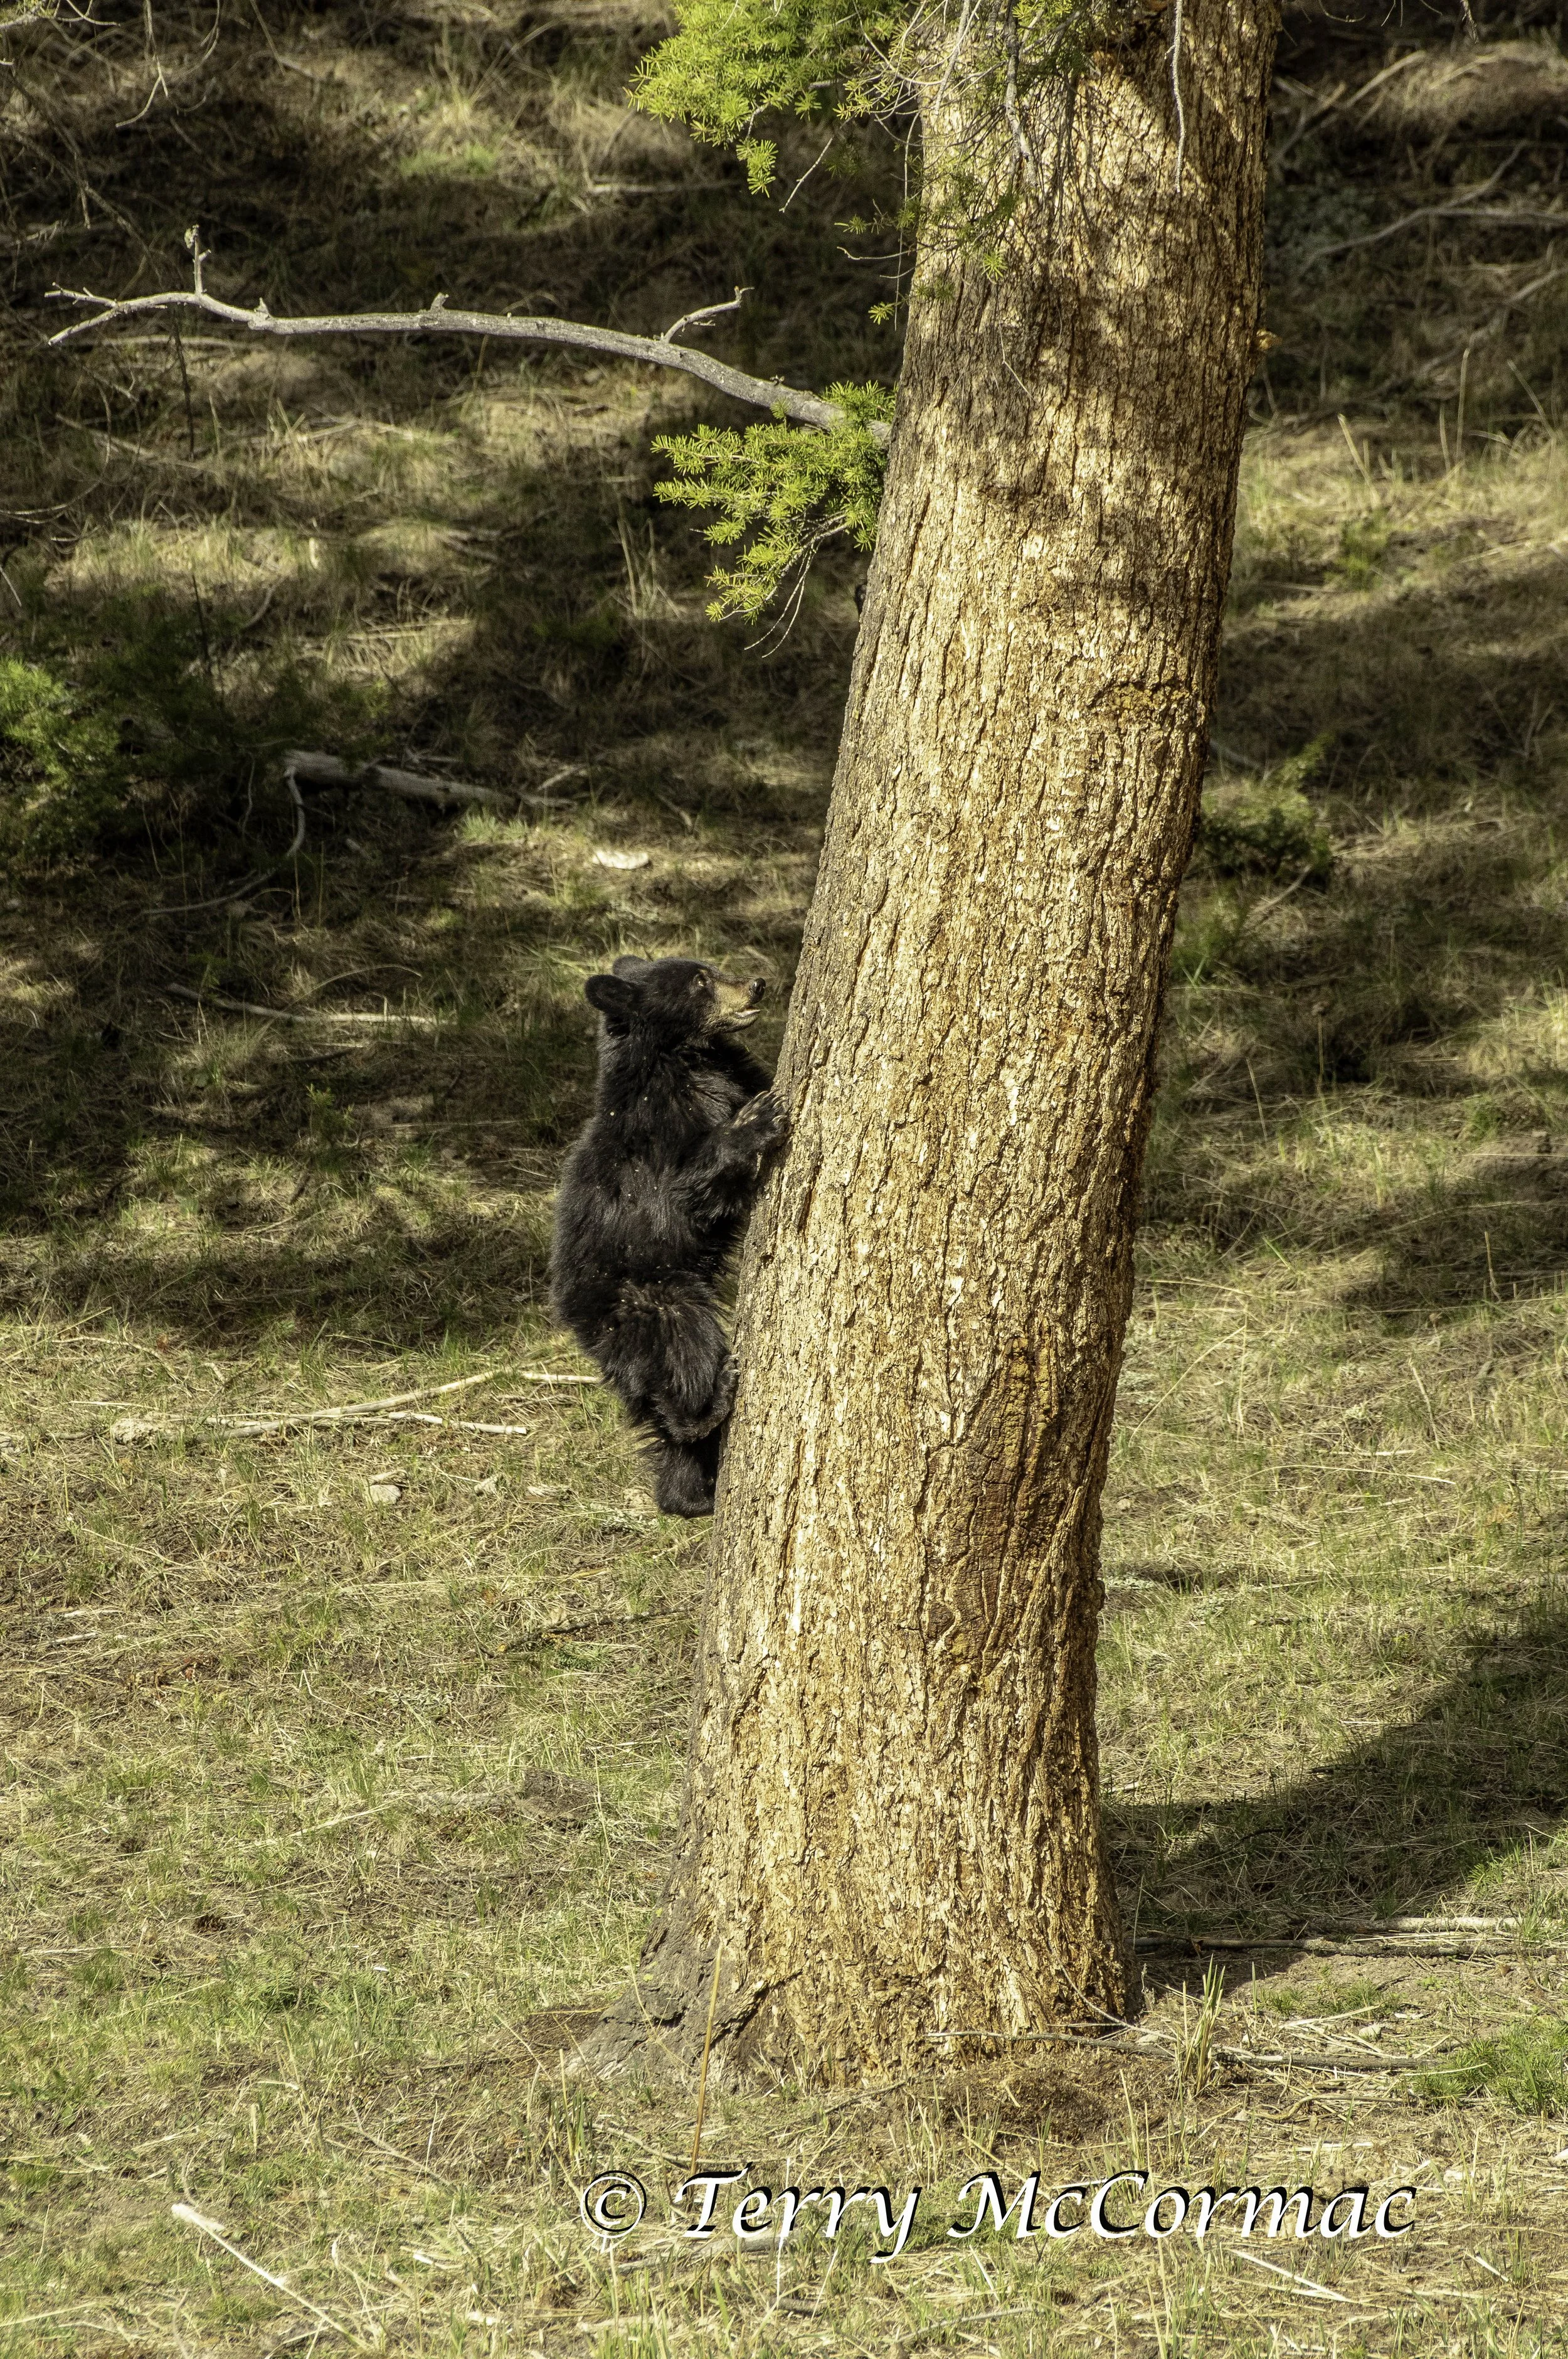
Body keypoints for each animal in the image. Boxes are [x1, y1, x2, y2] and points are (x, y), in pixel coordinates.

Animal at [549, 954, 788, 1517]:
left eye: (711, 967)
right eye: (700, 982)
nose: (756, 983)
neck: (686, 1060)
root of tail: (579, 1322)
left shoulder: (730, 1072)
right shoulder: (659, 1131)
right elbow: (690, 1184)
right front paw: (757, 1119)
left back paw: (690, 1494)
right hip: (656, 1299)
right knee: (687, 1354)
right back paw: (709, 1408)